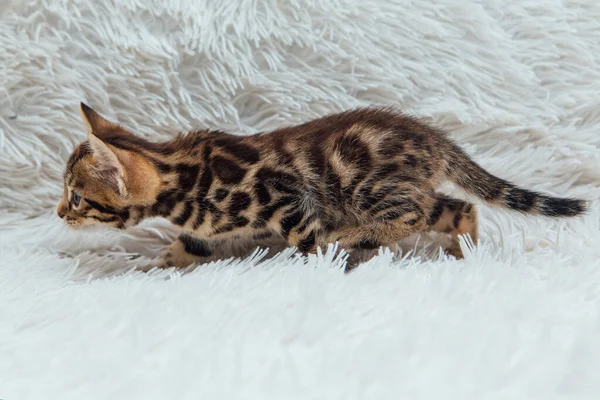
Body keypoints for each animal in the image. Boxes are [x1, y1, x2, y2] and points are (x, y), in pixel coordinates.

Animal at [58, 103, 588, 268]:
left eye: (77, 197)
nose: (59, 214)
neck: (182, 174)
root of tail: (437, 142)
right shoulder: (205, 232)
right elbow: (183, 249)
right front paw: (147, 266)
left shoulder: (289, 201)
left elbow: (308, 244)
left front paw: (310, 268)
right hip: (405, 188)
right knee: (460, 207)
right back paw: (464, 255)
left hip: (366, 186)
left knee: (411, 213)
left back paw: (356, 239)